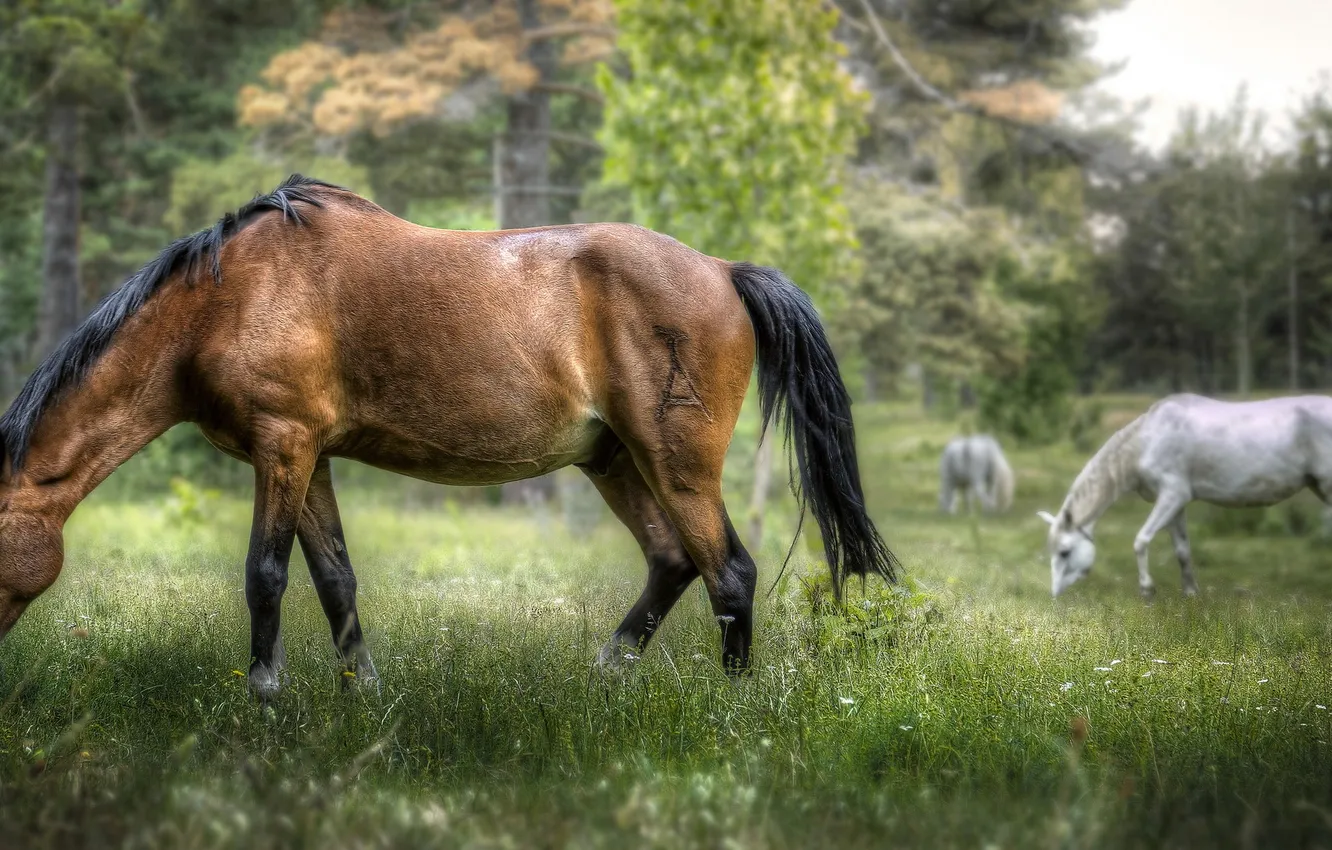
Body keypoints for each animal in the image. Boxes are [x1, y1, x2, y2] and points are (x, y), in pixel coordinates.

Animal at [0, 176, 896, 697]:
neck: (225, 299)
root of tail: (723, 271)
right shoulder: (308, 457)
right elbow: (336, 580)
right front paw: (363, 695)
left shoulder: (281, 445)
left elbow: (265, 576)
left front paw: (264, 700)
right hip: (613, 460)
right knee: (675, 562)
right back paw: (601, 677)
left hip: (676, 463)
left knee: (730, 574)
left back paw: (732, 714)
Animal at [1039, 393, 1332, 598]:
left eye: (1065, 552)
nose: (1054, 594)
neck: (1146, 441)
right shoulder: (1176, 505)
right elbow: (1182, 549)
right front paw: (1191, 593)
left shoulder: (1172, 495)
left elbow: (1141, 541)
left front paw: (1147, 590)